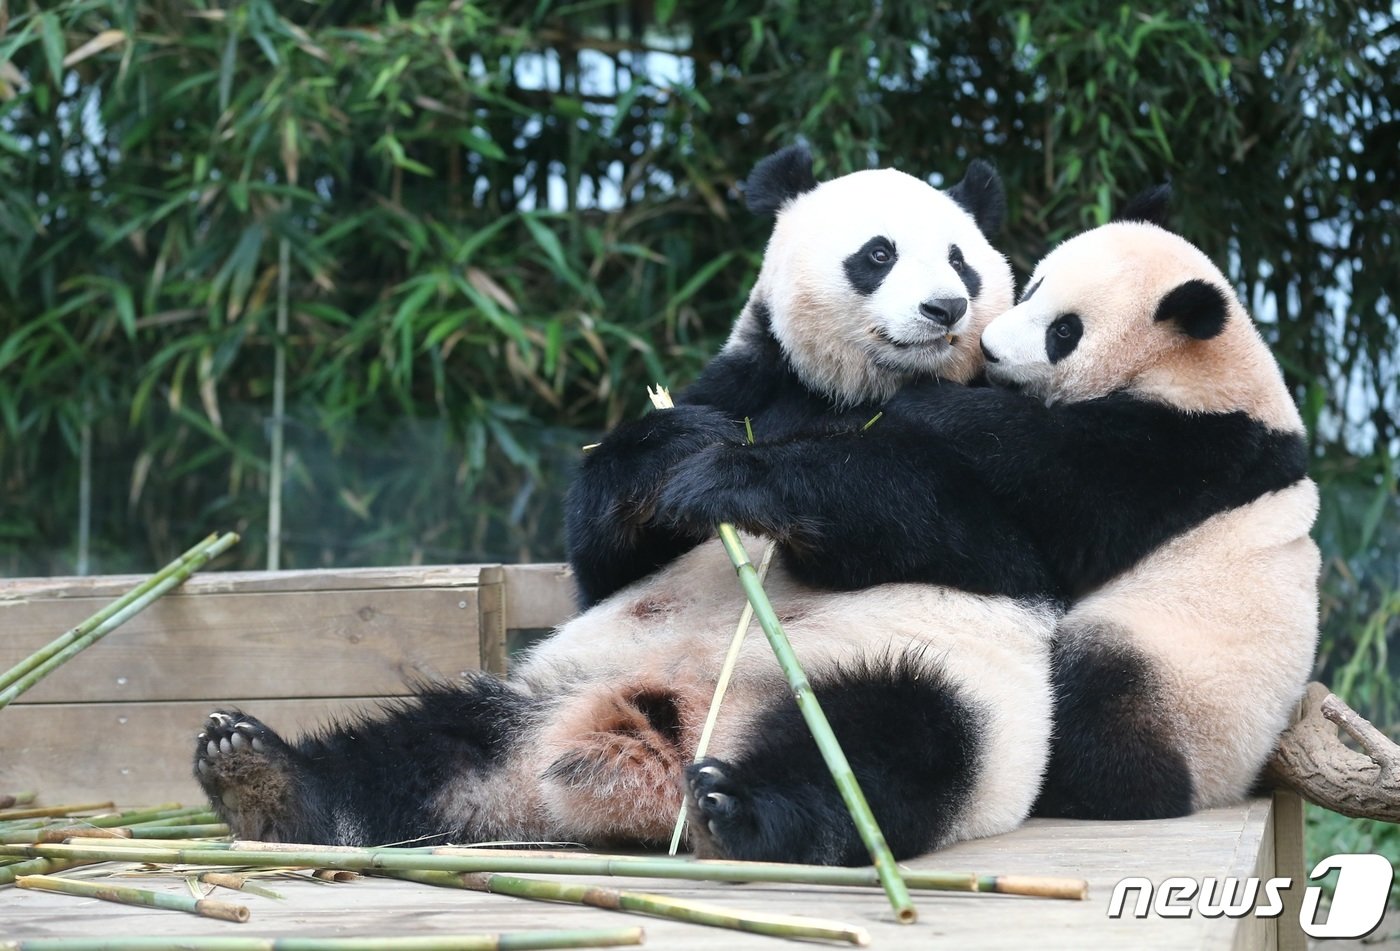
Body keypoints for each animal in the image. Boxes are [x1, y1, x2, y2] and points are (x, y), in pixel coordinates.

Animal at [191, 144, 1052, 868]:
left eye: (962, 262)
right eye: (878, 254)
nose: (944, 308)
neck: (851, 392)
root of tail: (654, 751)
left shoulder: (1001, 421)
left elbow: (991, 524)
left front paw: (753, 478)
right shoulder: (744, 382)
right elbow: (605, 558)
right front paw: (674, 448)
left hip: (942, 695)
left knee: (878, 749)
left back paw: (743, 812)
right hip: (539, 691)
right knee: (425, 746)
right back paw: (264, 778)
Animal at [660, 187, 1316, 823]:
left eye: (1064, 331)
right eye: (1032, 287)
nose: (989, 348)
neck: (1204, 366)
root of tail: (1227, 786)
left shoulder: (1183, 451)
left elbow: (1053, 484)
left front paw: (927, 401)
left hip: (1179, 675)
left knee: (1093, 708)